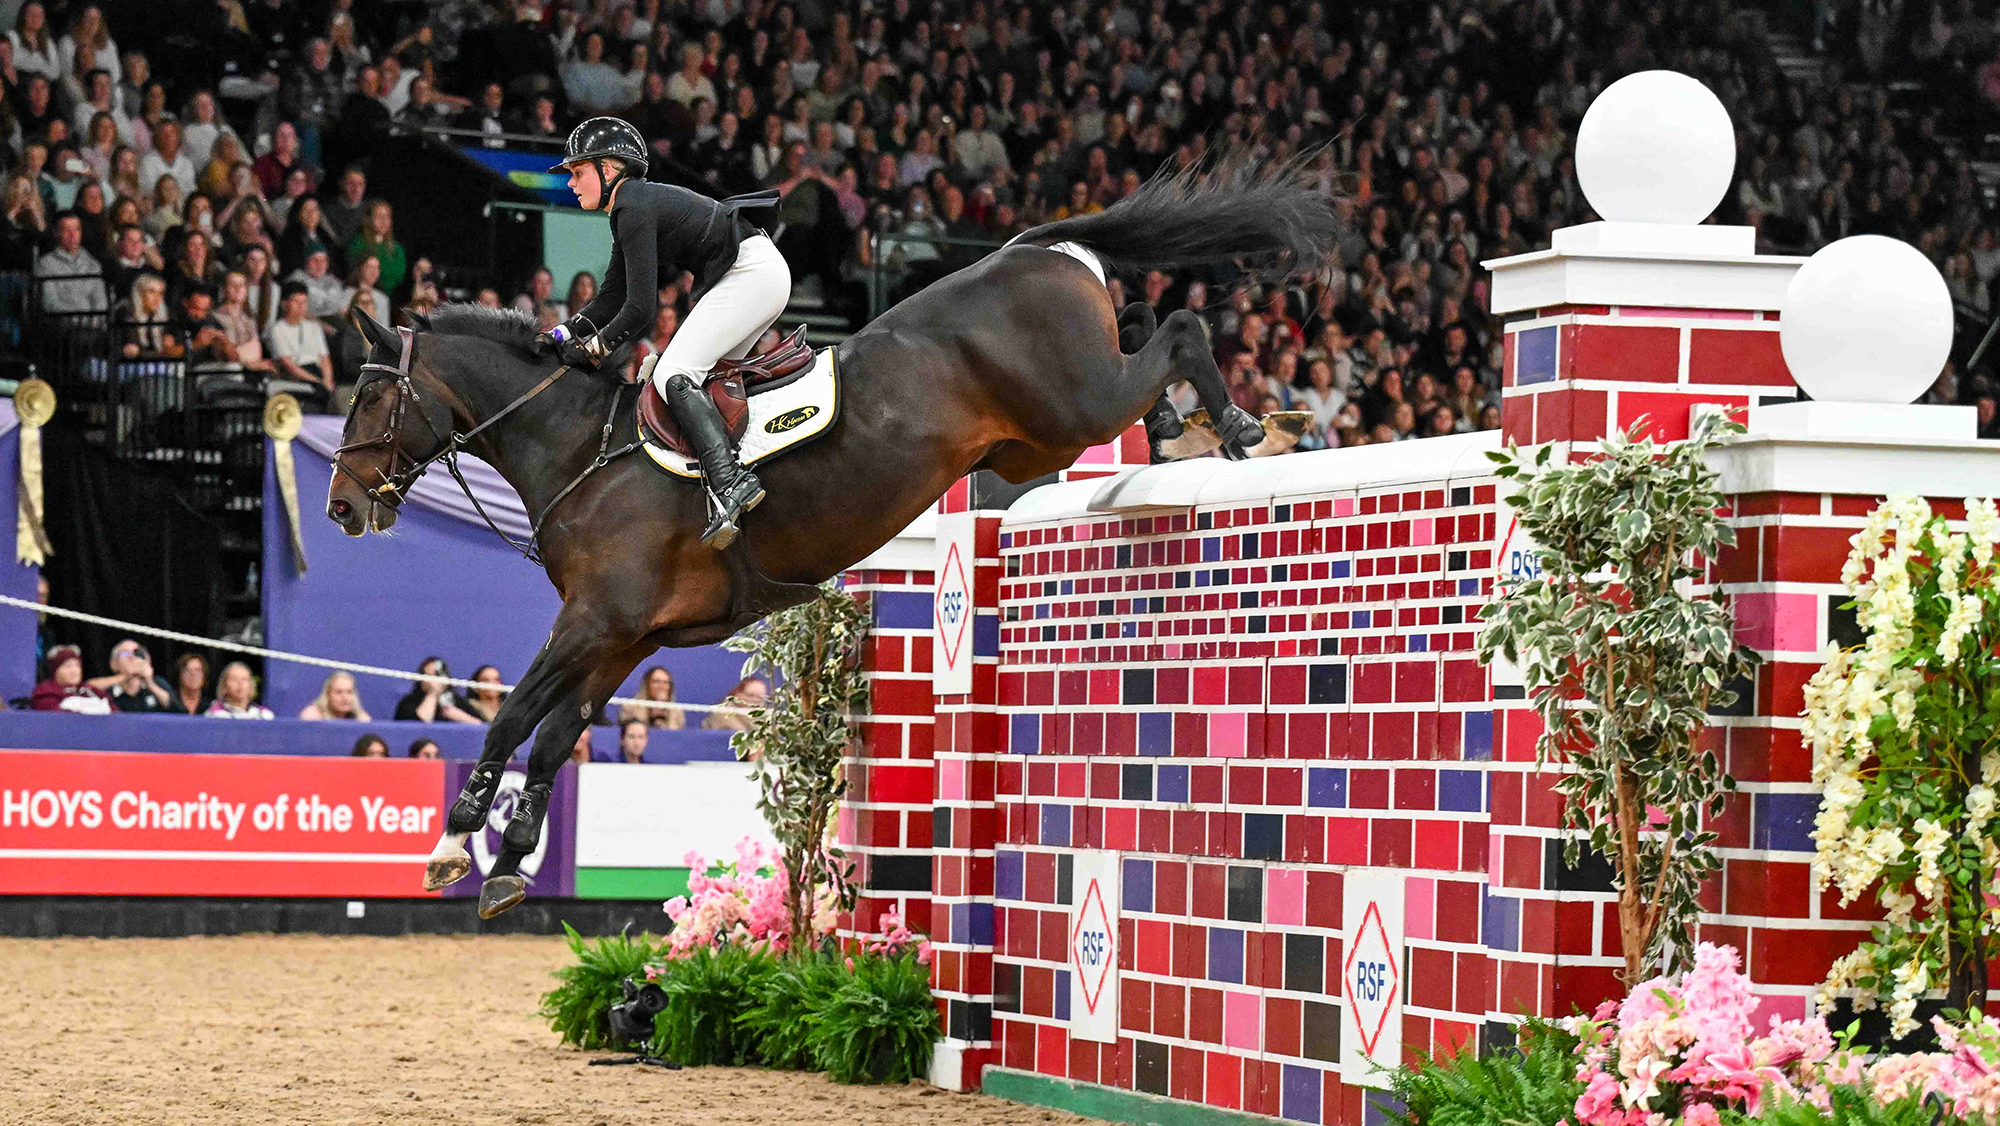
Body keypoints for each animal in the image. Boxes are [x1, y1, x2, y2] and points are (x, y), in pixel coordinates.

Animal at [327, 161, 1337, 918]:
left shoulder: (594, 622)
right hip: (1046, 433)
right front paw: (507, 866)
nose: (340, 507)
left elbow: (512, 717)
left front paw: (452, 843)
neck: (581, 447)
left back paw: (1244, 426)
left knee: (1179, 325)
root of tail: (1030, 247)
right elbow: (553, 737)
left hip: (1071, 403)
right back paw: (1184, 425)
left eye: (371, 396)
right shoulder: (624, 637)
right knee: (1142, 329)